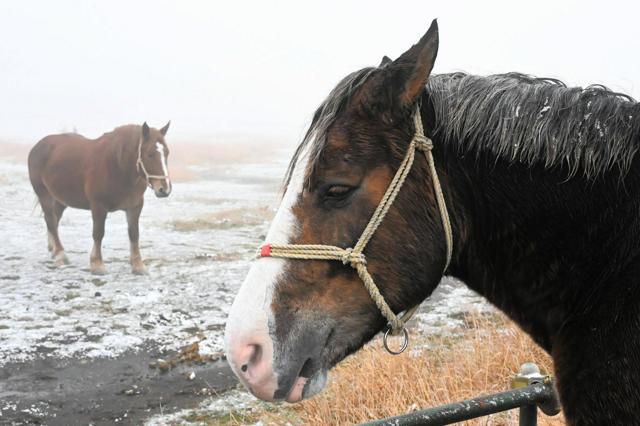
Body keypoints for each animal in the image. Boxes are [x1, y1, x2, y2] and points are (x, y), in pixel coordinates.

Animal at [28, 122, 171, 276]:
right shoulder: (98, 206)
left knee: (55, 219)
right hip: (44, 194)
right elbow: (98, 233)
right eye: (150, 154)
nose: (164, 189)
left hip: (61, 198)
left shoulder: (135, 206)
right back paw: (61, 255)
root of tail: (38, 146)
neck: (117, 166)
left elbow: (134, 234)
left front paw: (138, 266)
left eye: (167, 153)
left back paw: (53, 249)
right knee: (51, 220)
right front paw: (97, 264)